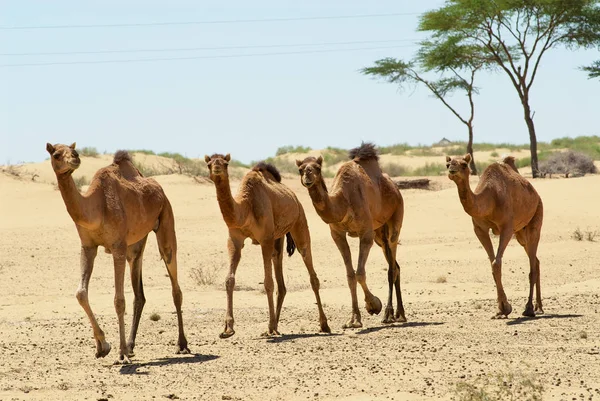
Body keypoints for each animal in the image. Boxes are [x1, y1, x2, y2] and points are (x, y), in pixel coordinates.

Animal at [45, 143, 189, 362]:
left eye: (71, 149)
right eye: (56, 154)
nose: (76, 157)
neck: (96, 208)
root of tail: (158, 188)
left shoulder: (118, 247)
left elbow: (119, 300)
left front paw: (120, 353)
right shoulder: (88, 247)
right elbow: (81, 293)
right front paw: (102, 346)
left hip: (166, 219)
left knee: (174, 284)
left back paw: (181, 344)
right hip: (135, 245)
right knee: (139, 294)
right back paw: (131, 345)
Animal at [205, 153, 328, 338]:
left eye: (226, 163)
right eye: (209, 163)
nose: (217, 167)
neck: (245, 207)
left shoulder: (265, 239)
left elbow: (268, 282)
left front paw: (268, 325)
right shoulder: (234, 239)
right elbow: (229, 280)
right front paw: (228, 328)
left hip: (299, 223)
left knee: (309, 267)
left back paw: (323, 325)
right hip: (278, 238)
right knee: (280, 276)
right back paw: (274, 327)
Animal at [296, 142, 406, 326]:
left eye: (318, 167)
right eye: (300, 169)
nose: (308, 176)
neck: (343, 200)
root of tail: (395, 187)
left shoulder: (365, 232)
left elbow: (360, 273)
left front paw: (374, 305)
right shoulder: (337, 234)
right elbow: (350, 275)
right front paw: (354, 319)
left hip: (396, 215)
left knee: (392, 266)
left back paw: (388, 314)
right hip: (379, 233)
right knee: (395, 265)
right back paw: (400, 314)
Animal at [446, 154, 544, 318]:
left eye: (464, 164)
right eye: (447, 164)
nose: (452, 170)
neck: (490, 198)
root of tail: (536, 194)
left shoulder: (507, 228)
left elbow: (496, 263)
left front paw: (506, 308)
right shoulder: (479, 229)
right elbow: (492, 264)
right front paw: (500, 309)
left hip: (536, 217)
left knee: (532, 264)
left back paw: (529, 308)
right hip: (520, 233)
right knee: (535, 260)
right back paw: (538, 307)